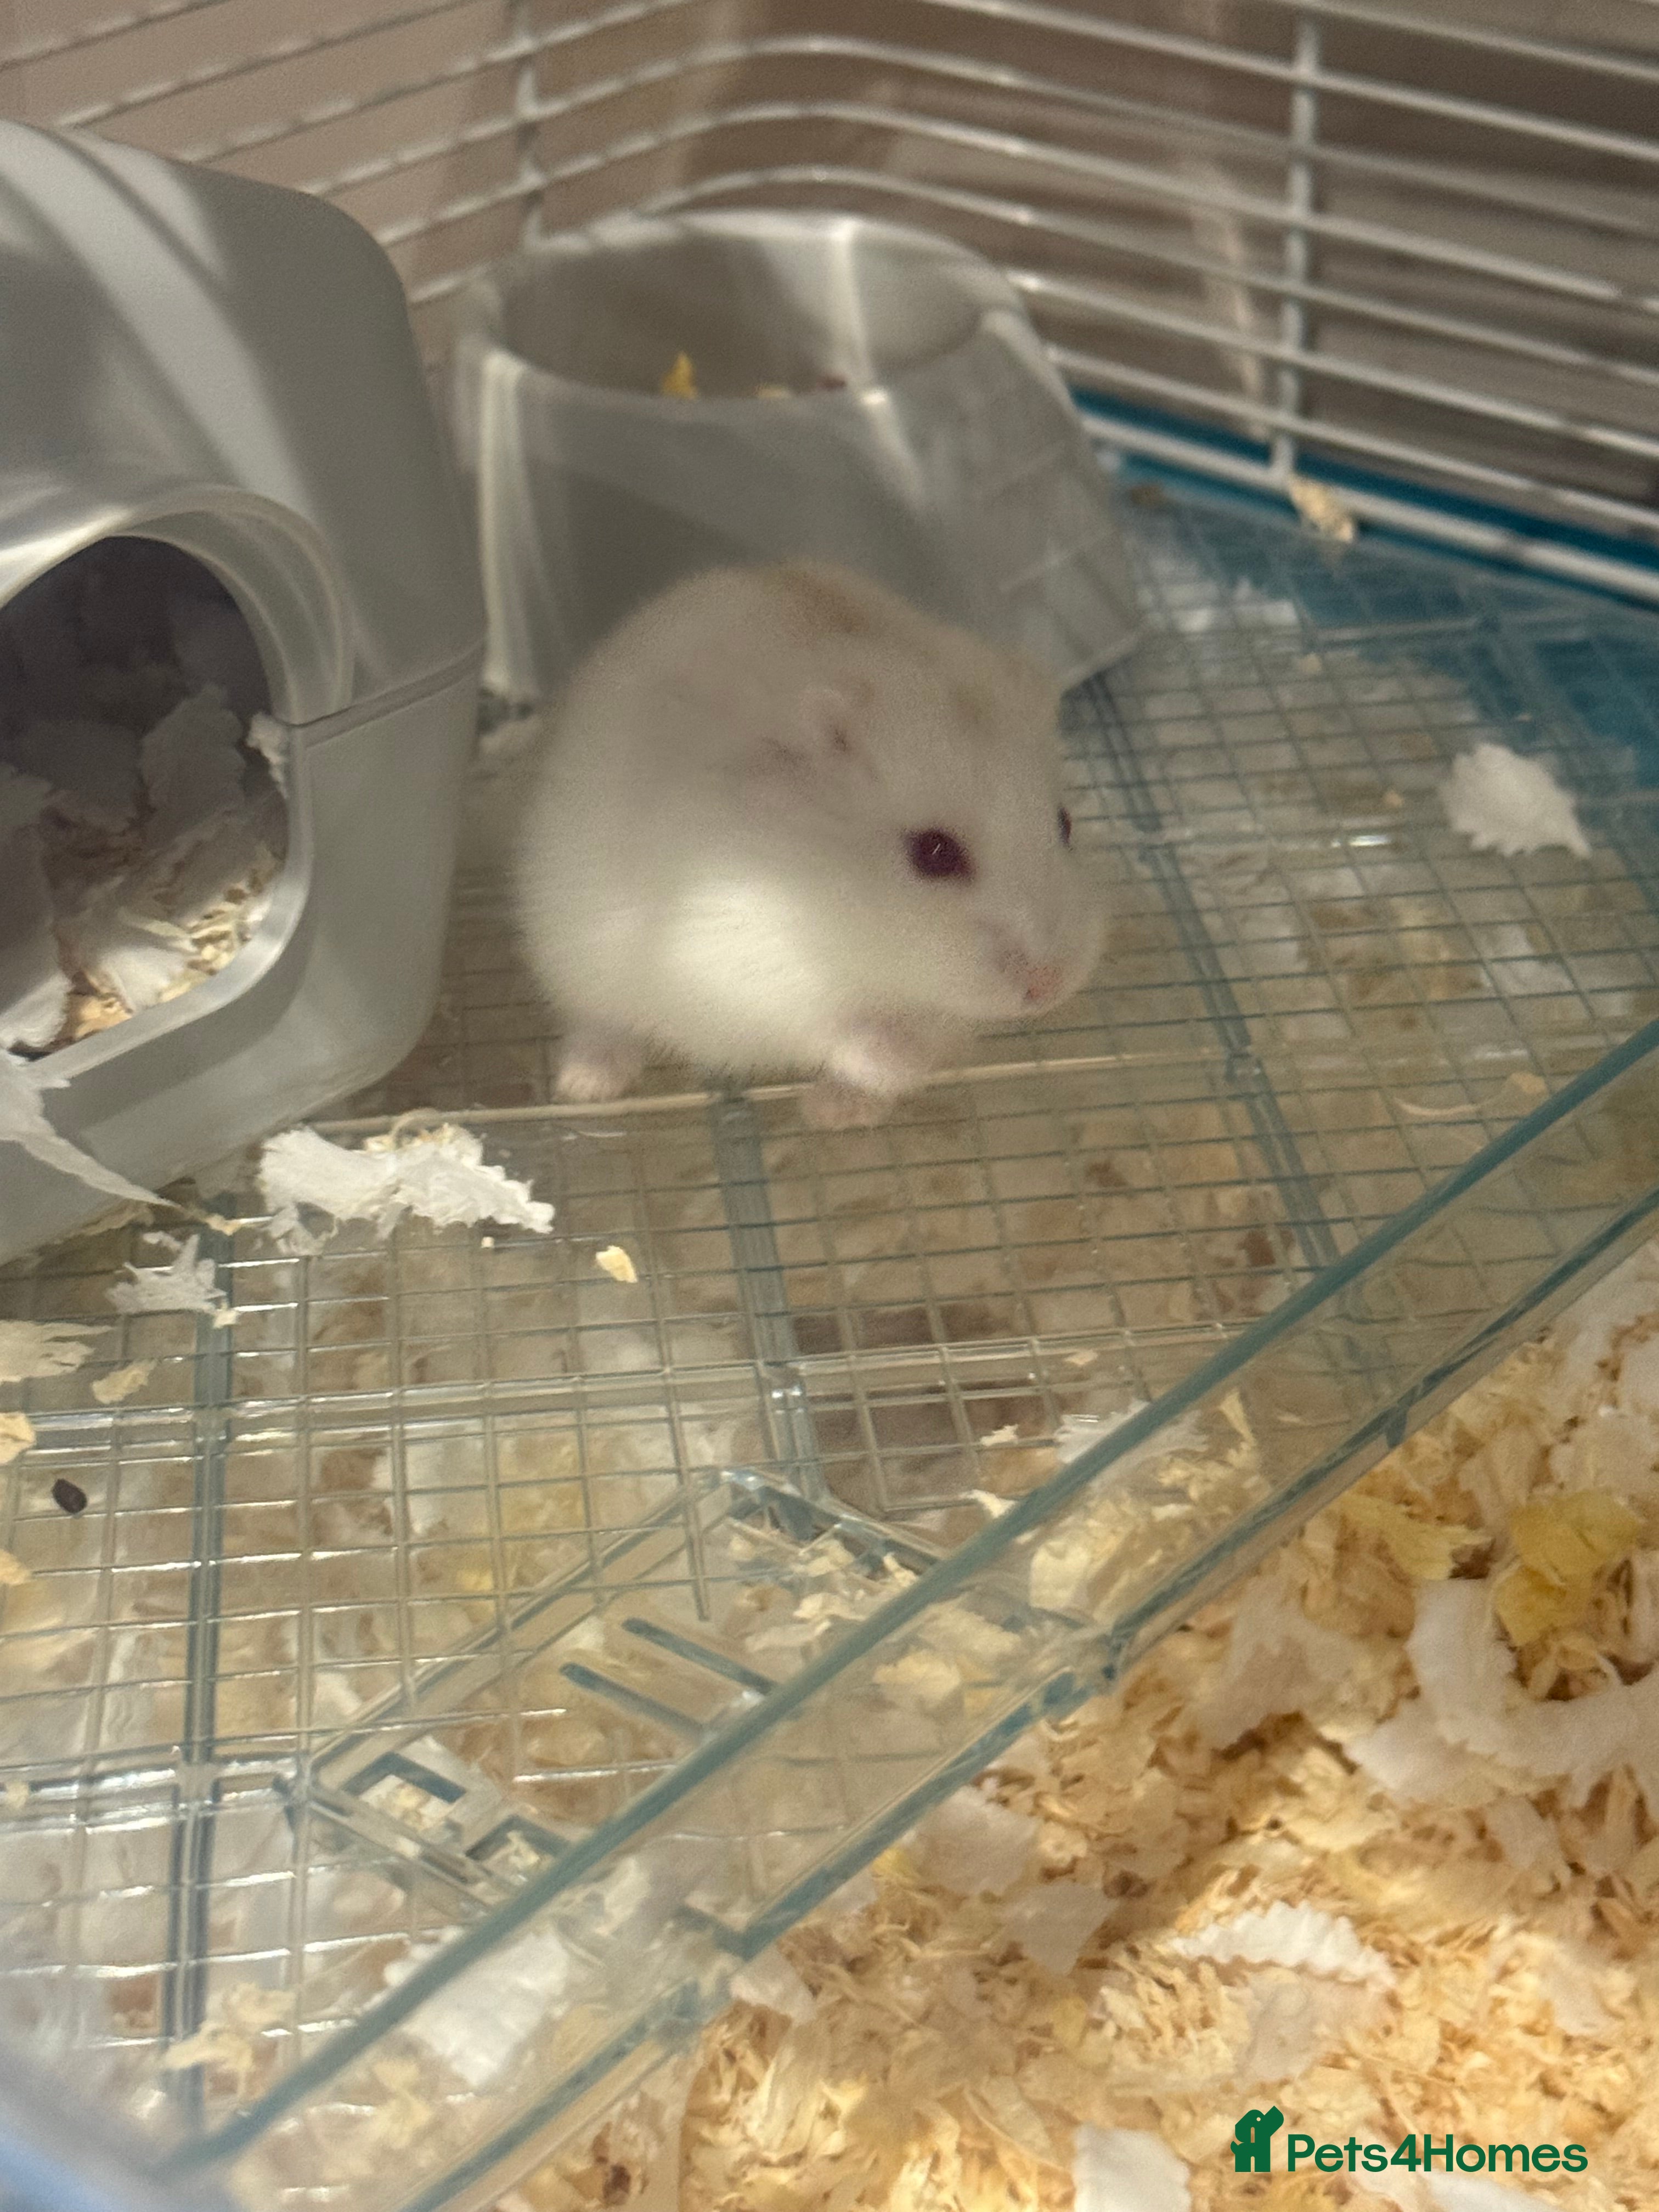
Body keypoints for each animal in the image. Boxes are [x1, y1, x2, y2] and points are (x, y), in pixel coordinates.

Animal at [512, 560, 1105, 1126]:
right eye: (934, 853)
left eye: (1065, 825)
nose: (1049, 987)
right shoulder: (744, 973)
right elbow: (845, 1032)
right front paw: (889, 1067)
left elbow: (930, 1033)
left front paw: (861, 1092)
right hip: (576, 962)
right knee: (601, 1024)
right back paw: (586, 1085)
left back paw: (838, 1111)